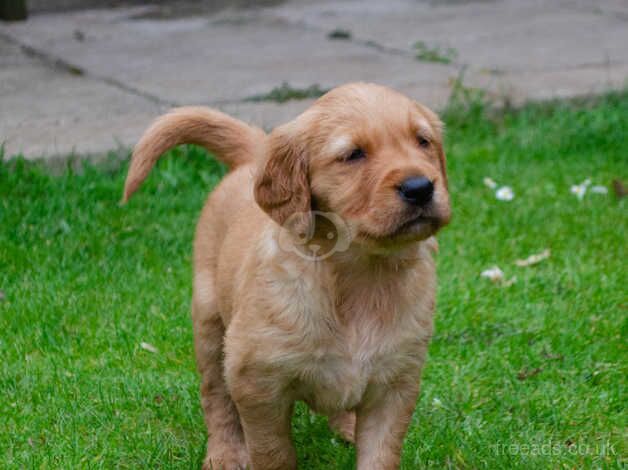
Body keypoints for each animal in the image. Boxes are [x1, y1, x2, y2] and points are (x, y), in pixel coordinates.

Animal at [124, 82, 452, 468]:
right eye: (353, 155)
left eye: (423, 141)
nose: (420, 187)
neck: (361, 273)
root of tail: (255, 156)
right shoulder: (256, 381)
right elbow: (273, 451)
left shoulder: (397, 381)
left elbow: (380, 455)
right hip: (209, 322)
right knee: (215, 395)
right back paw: (224, 453)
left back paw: (346, 426)